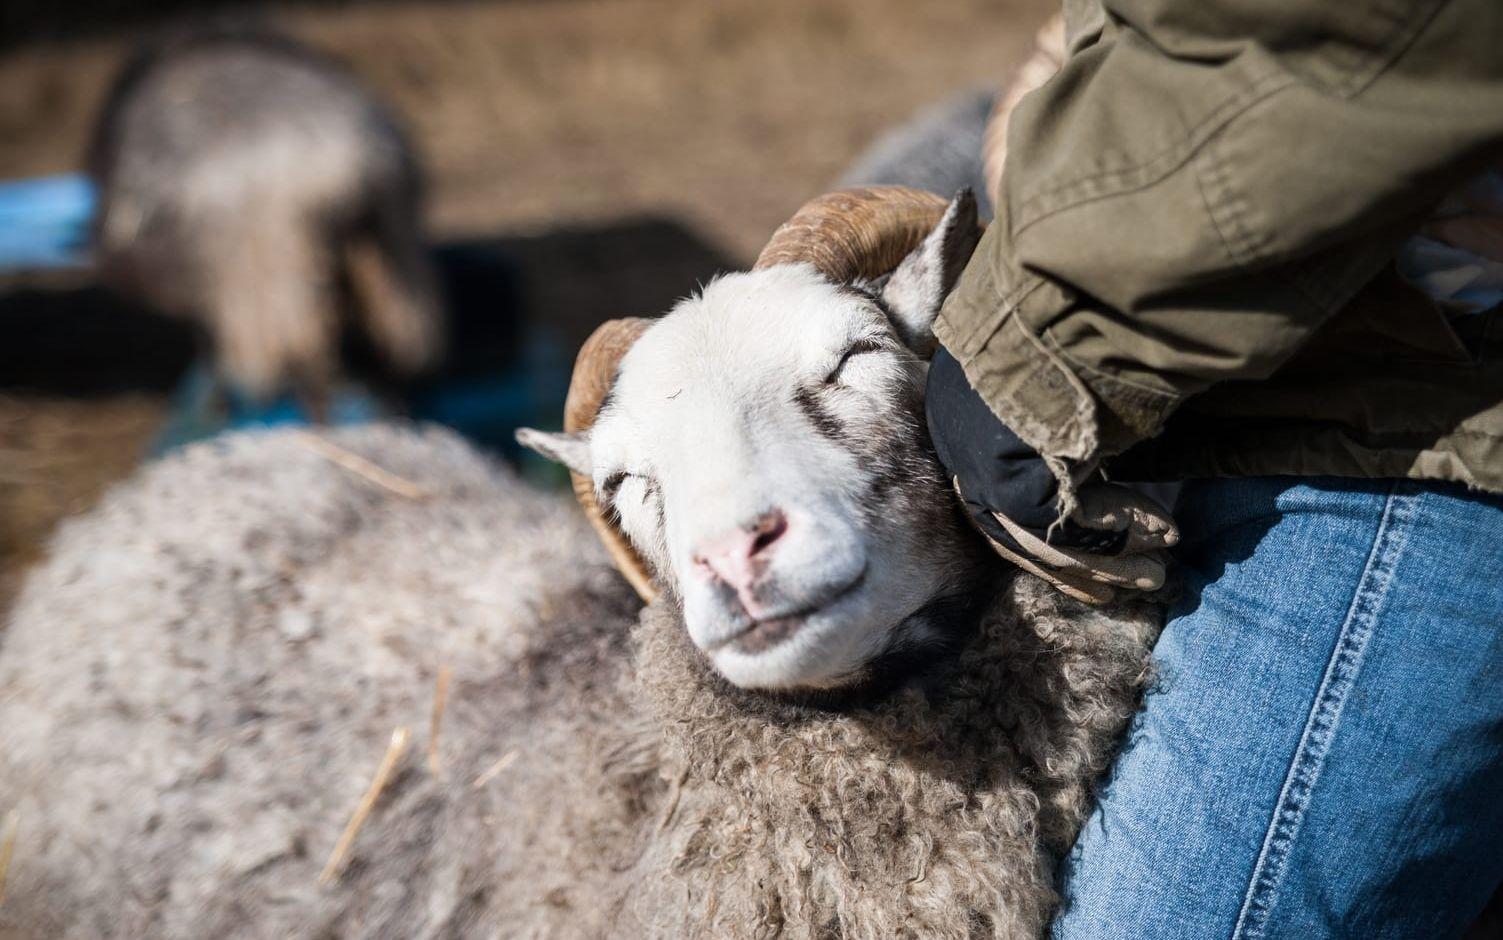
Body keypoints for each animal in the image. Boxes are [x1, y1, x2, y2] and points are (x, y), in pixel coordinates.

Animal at [88, 22, 441, 415]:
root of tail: (339, 160)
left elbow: (206, 343)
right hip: (392, 272)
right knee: (380, 354)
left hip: (273, 288)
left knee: (313, 368)